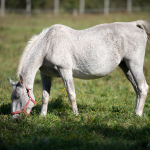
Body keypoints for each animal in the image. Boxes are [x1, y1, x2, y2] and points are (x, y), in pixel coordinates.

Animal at [9, 19, 150, 119]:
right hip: (126, 67)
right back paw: (135, 111)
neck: (48, 44)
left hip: (134, 65)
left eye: (18, 96)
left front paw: (75, 115)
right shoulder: (45, 75)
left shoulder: (65, 70)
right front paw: (42, 116)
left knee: (142, 87)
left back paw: (138, 114)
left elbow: (71, 94)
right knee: (137, 89)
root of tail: (135, 24)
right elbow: (45, 96)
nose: (14, 119)